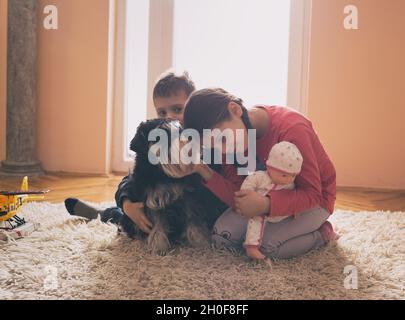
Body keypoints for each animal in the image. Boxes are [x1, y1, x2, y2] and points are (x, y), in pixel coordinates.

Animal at [119, 119, 227, 254]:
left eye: (181, 129)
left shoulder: (188, 198)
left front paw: (202, 244)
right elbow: (158, 225)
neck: (163, 174)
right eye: (163, 134)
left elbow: (194, 222)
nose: (191, 136)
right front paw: (159, 247)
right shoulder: (154, 201)